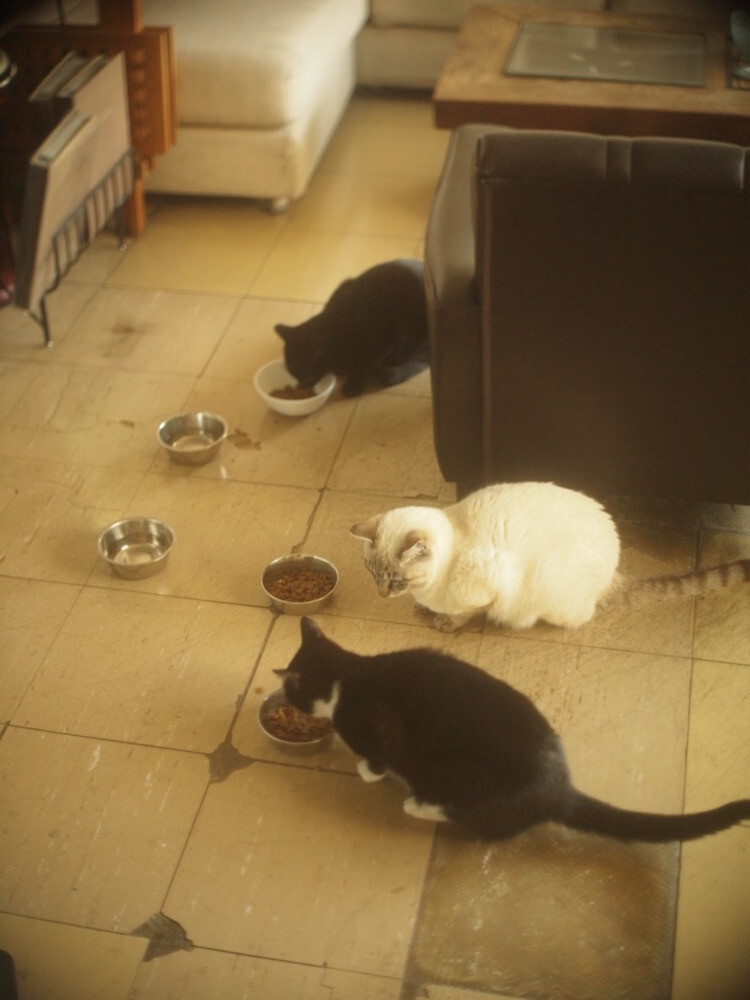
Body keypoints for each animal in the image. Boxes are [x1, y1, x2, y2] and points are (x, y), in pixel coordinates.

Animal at [274, 259, 429, 397]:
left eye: (306, 375)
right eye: (293, 374)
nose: (301, 386)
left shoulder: (385, 341)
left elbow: (362, 362)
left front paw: (353, 384)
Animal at [276, 617, 750, 842]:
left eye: (293, 693)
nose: (286, 698)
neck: (345, 673)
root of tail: (559, 790)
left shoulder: (374, 733)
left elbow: (375, 759)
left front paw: (365, 771)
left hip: (457, 779)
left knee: (467, 817)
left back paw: (416, 805)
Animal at [350, 481, 750, 632]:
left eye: (396, 579)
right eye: (371, 572)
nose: (382, 594)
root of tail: (614, 571)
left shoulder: (487, 590)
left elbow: (466, 613)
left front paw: (445, 622)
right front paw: (425, 609)